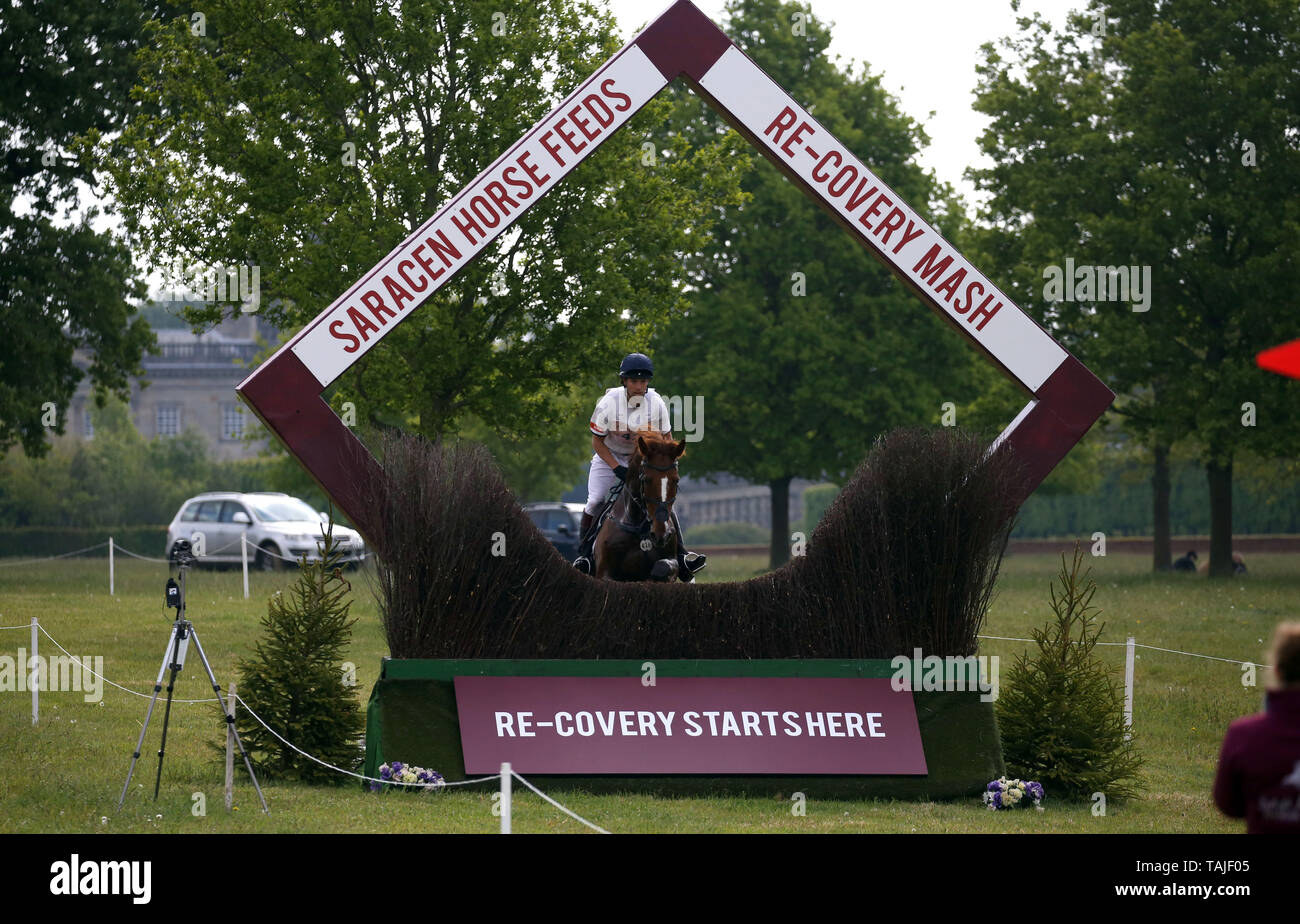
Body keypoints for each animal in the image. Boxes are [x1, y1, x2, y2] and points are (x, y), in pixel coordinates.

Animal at [592, 428, 686, 582]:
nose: (661, 534)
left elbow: (664, 566)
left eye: (676, 480)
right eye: (646, 479)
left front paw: (656, 572)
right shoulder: (604, 573)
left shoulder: (671, 561)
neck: (639, 527)